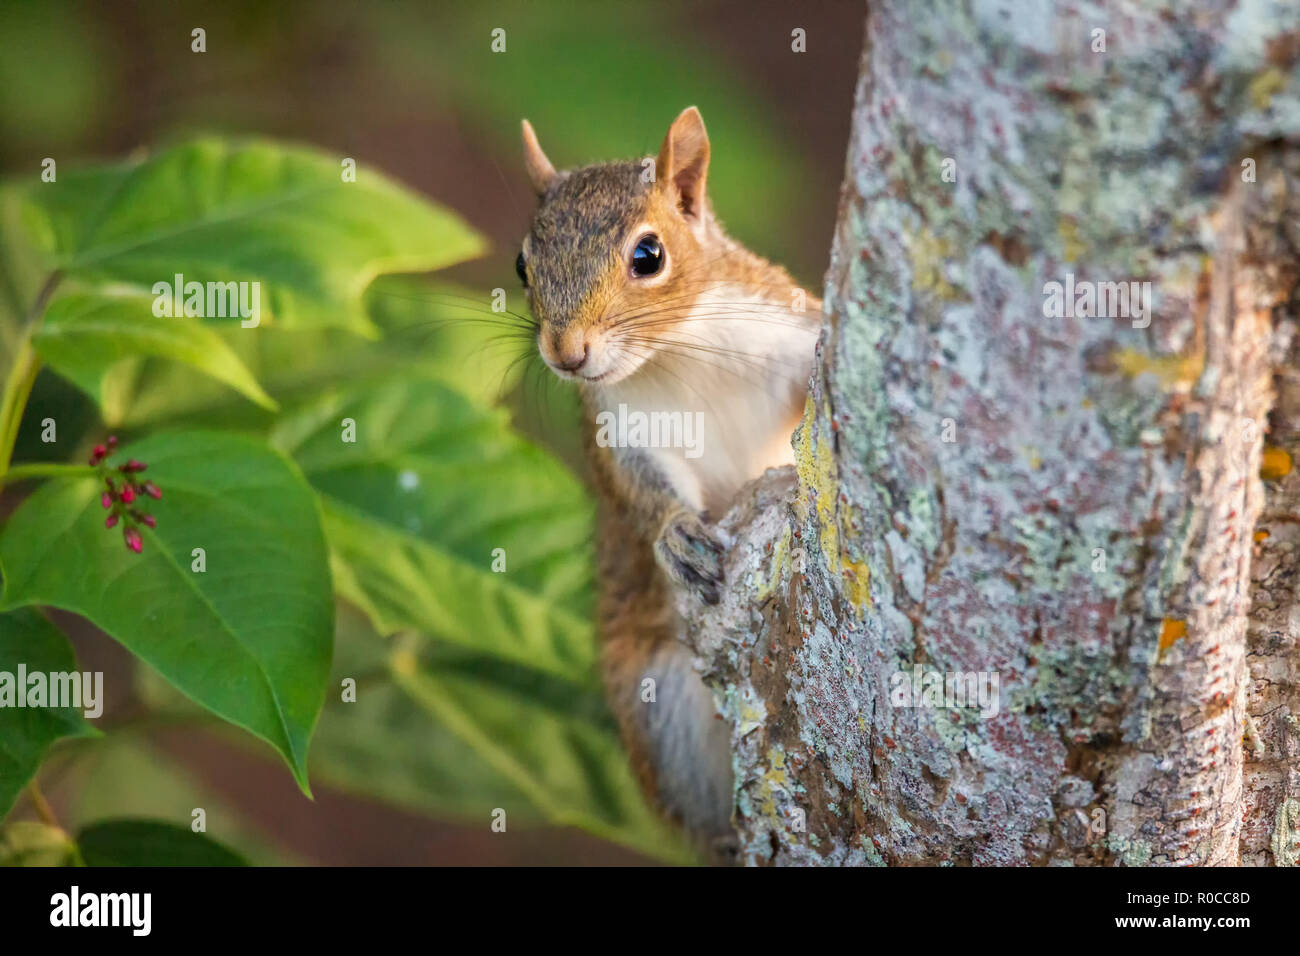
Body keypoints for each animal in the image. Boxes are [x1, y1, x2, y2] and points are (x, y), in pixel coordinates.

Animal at [512, 108, 816, 863]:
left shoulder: (785, 327)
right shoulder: (618, 428)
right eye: (522, 265)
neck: (677, 353)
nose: (566, 354)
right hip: (662, 716)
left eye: (649, 256)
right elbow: (642, 491)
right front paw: (676, 536)